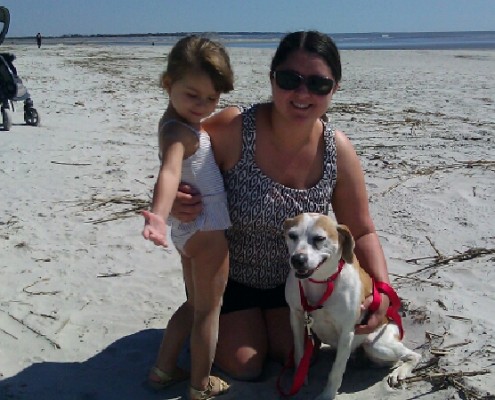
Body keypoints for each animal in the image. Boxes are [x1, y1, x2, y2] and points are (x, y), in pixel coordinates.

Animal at [284, 214, 420, 398]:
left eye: (319, 238)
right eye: (292, 235)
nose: (297, 260)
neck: (321, 282)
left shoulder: (346, 332)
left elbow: (336, 371)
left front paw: (327, 395)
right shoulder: (297, 317)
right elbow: (299, 352)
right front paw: (299, 377)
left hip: (376, 344)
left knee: (413, 355)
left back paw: (400, 372)